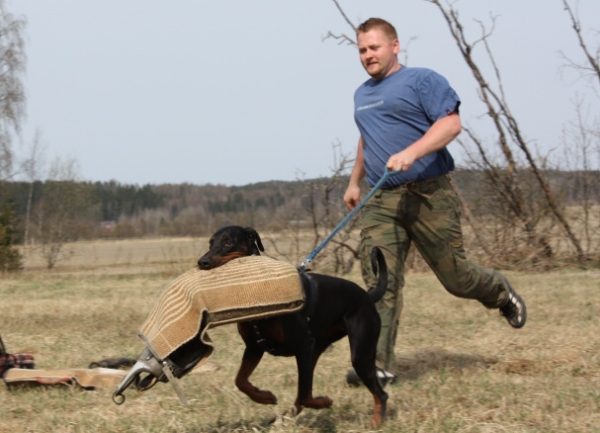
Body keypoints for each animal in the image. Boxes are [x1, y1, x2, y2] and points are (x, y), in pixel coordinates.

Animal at [199, 226, 390, 426]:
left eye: (229, 242)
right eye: (210, 243)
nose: (202, 262)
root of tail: (368, 297)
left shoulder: (302, 345)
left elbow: (304, 393)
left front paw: (325, 402)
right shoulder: (253, 347)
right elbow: (240, 380)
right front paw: (264, 396)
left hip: (358, 354)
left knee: (380, 394)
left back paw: (374, 423)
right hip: (315, 350)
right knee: (303, 393)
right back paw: (285, 417)